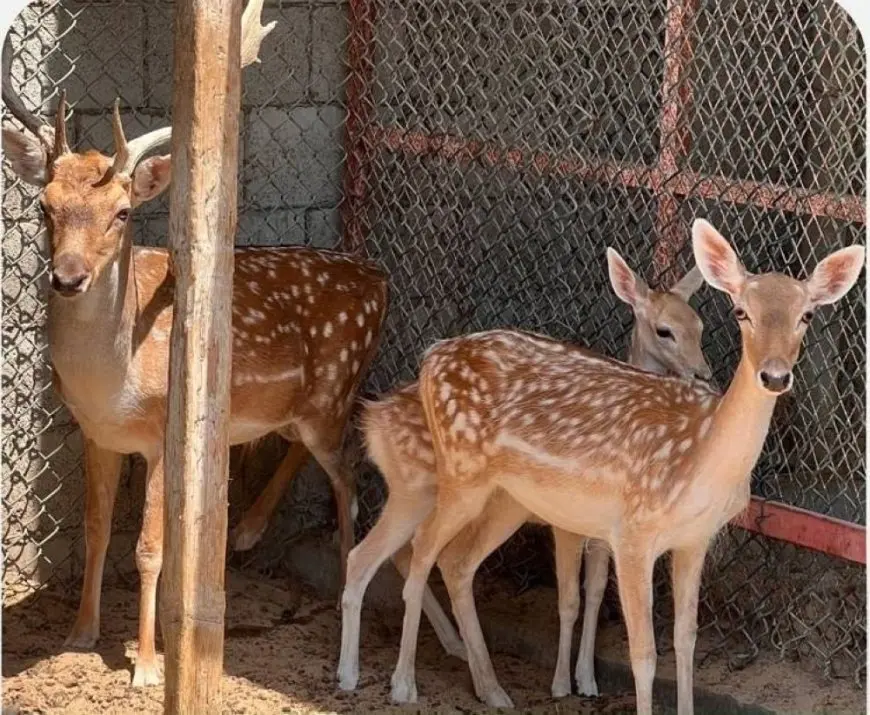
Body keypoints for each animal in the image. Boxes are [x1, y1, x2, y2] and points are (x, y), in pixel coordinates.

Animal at [0, 2, 388, 692]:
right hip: (295, 407)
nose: (68, 277)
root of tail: (383, 278)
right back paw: (248, 533)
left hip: (335, 389)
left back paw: (341, 576)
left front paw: (149, 665)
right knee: (297, 447)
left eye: (124, 211)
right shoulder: (96, 432)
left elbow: (150, 549)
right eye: (44, 205)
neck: (114, 383)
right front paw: (81, 632)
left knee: (347, 472)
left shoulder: (161, 433)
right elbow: (96, 530)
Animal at [338, 248, 712, 704]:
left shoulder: (605, 529)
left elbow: (596, 589)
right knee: (395, 556)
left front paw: (587, 679)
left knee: (414, 557)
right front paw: (562, 683)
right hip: (427, 490)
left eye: (699, 325)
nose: (703, 373)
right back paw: (367, 675)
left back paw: (468, 668)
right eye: (664, 331)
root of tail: (373, 423)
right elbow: (570, 597)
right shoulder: (567, 522)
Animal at [390, 220, 864, 715]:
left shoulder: (696, 539)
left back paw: (493, 689)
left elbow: (685, 640)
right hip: (460, 471)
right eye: (740, 311)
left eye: (806, 315)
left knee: (456, 561)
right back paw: (404, 685)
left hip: (508, 498)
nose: (774, 376)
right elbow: (644, 652)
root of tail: (431, 356)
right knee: (421, 549)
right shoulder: (632, 531)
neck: (699, 461)